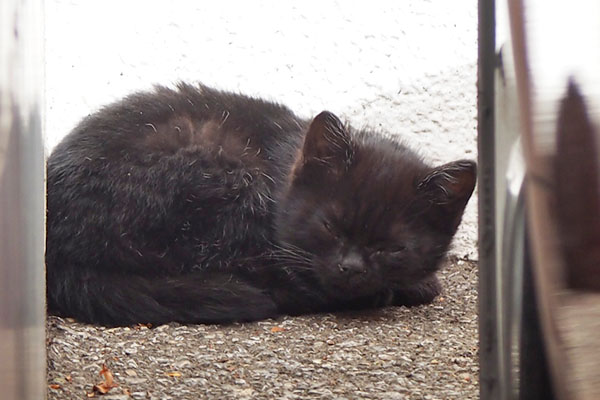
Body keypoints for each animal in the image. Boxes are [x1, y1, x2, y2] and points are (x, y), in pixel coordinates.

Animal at [45, 83, 478, 324]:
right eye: (328, 226)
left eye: (392, 248)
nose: (351, 268)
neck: (285, 167)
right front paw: (411, 286)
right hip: (226, 177)